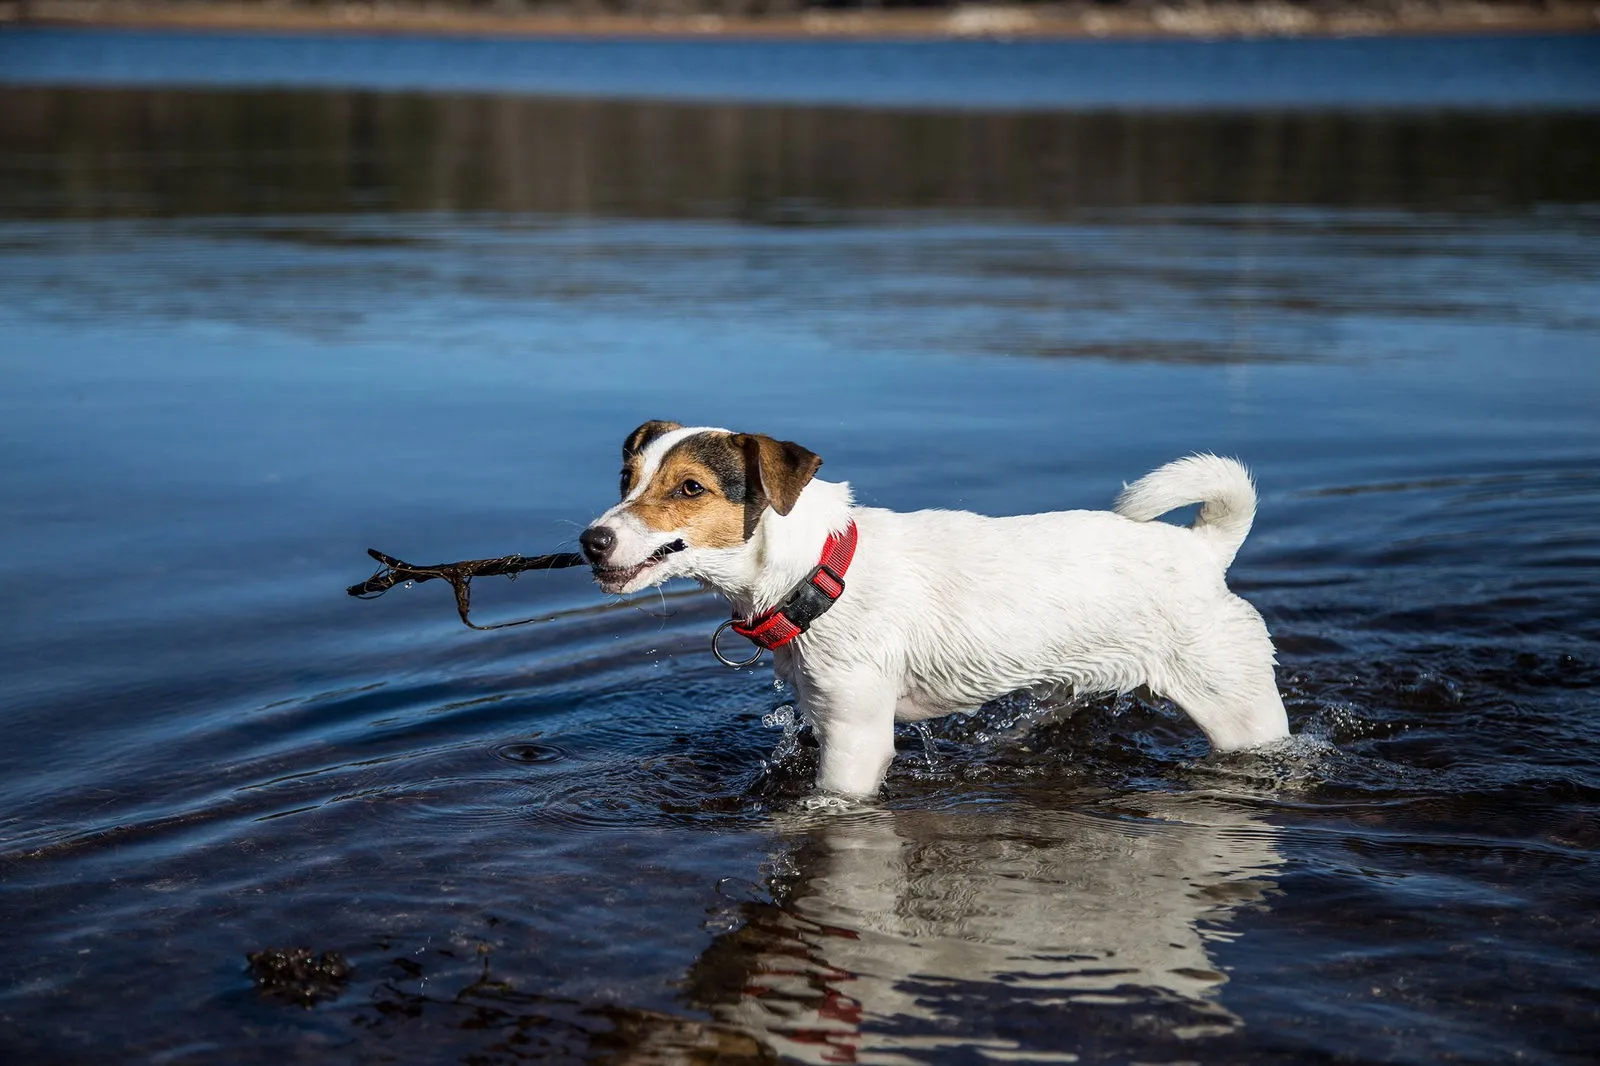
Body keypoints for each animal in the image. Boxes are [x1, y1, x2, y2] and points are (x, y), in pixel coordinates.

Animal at [582, 419, 1292, 793]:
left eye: (690, 488)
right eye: (625, 480)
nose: (591, 542)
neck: (821, 569)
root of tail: (1202, 550)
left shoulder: (857, 741)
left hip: (1241, 710)